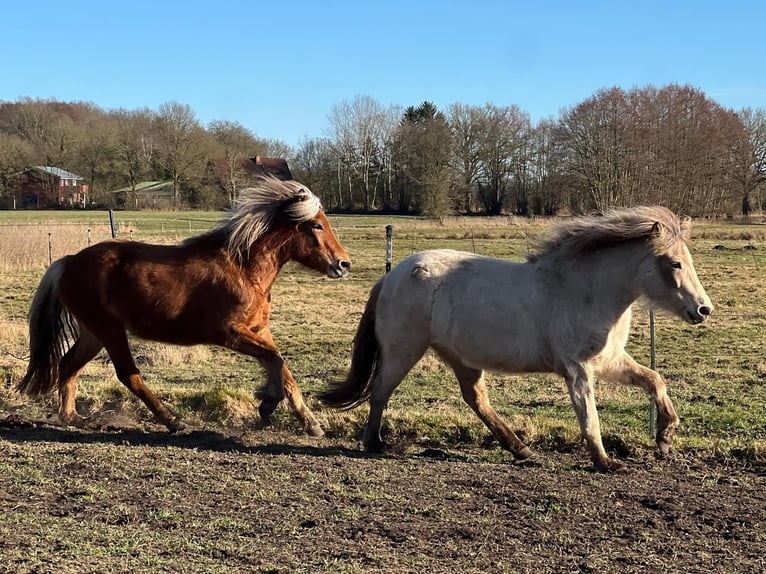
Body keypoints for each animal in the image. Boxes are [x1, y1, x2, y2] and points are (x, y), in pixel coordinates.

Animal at [17, 177, 351, 437]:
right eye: (317, 226)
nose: (343, 264)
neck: (243, 268)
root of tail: (68, 261)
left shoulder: (258, 330)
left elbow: (282, 367)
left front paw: (310, 422)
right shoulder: (229, 333)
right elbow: (275, 360)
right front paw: (267, 402)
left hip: (94, 333)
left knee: (68, 366)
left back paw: (72, 417)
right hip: (109, 330)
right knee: (128, 374)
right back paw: (174, 421)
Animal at [320, 206, 712, 472]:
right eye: (675, 263)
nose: (703, 309)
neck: (585, 290)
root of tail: (391, 276)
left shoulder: (610, 361)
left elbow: (655, 381)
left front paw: (665, 437)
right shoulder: (578, 369)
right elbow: (589, 417)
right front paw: (606, 462)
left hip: (461, 357)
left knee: (475, 399)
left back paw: (521, 449)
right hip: (404, 351)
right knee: (380, 391)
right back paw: (374, 443)